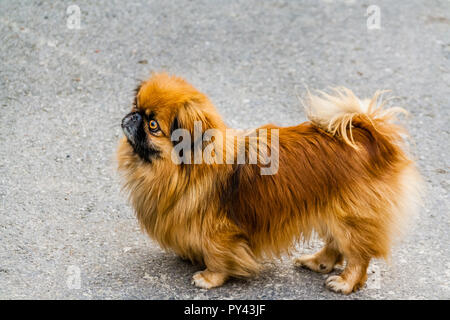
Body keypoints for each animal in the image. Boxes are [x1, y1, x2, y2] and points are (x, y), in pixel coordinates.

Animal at [117, 73, 422, 296]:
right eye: (135, 107)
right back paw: (316, 263)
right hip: (331, 211)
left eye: (153, 125)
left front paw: (209, 277)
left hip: (350, 218)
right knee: (334, 247)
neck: (184, 169)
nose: (133, 117)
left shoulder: (219, 232)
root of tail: (368, 134)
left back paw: (345, 283)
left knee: (358, 256)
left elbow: (217, 256)